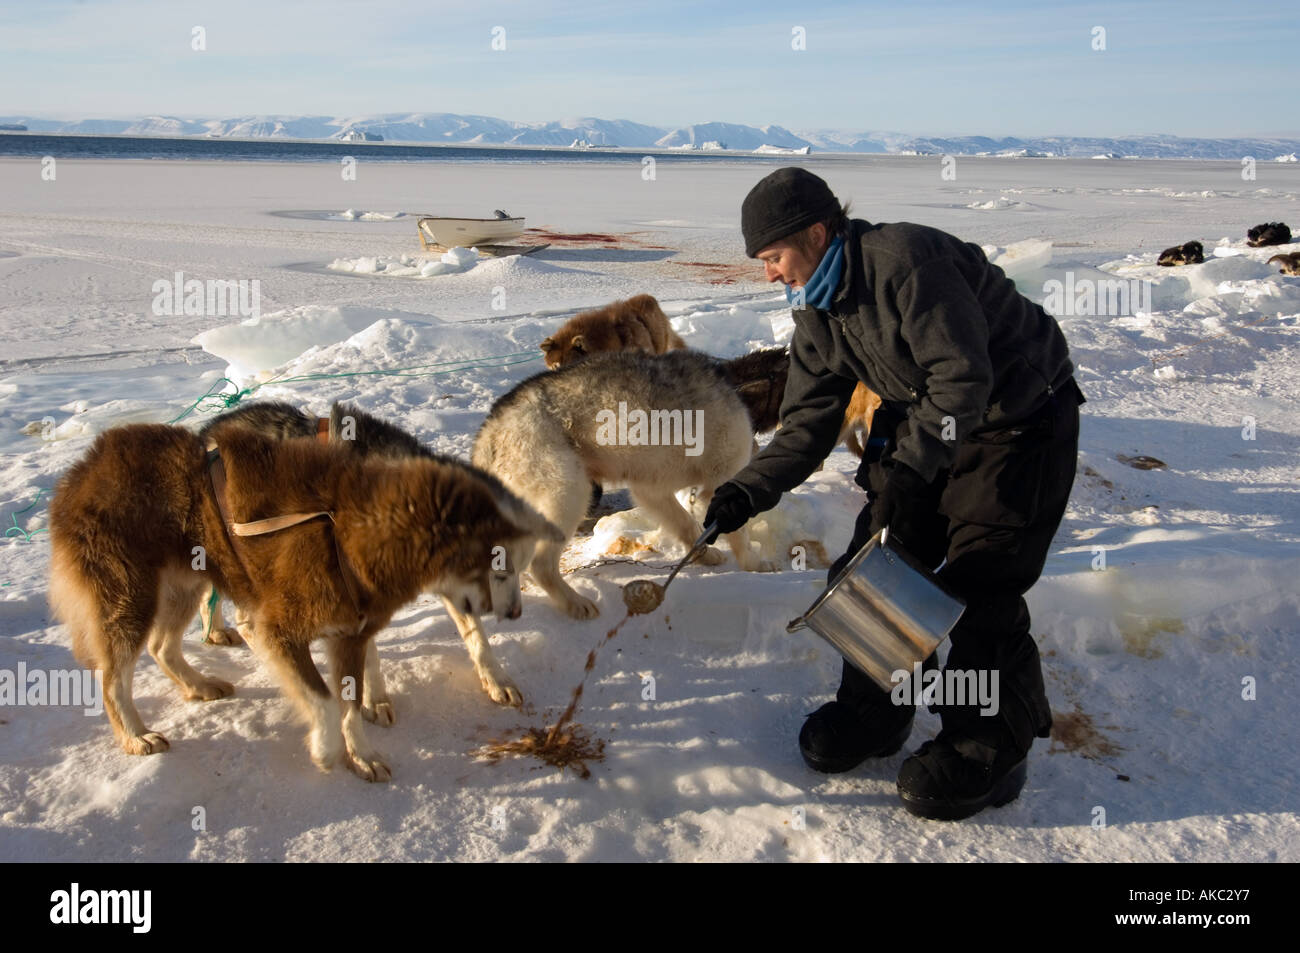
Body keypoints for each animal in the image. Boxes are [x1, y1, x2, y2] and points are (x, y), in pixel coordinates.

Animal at [49, 423, 559, 780]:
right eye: (500, 565)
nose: (516, 613)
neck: (348, 531)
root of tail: (85, 466)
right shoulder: (276, 630)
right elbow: (325, 701)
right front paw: (328, 751)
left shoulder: (350, 636)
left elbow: (349, 705)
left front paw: (362, 755)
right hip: (130, 599)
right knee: (113, 679)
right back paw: (136, 736)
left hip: (184, 586)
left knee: (161, 647)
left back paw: (198, 685)